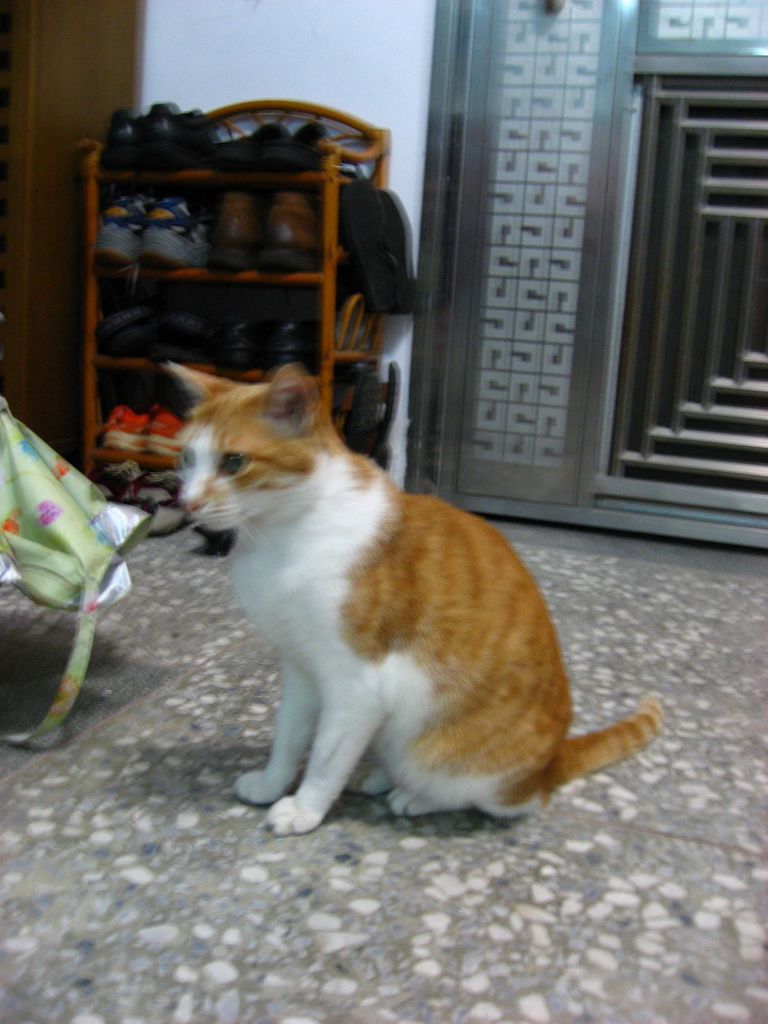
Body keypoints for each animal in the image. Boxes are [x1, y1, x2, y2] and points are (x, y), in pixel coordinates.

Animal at [170, 362, 663, 836]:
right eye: (188, 457)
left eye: (234, 462)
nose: (186, 503)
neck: (279, 536)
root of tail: (551, 762)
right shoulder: (300, 668)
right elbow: (287, 736)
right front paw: (272, 784)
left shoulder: (356, 686)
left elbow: (326, 758)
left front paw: (305, 809)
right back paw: (380, 777)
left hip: (458, 762)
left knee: (495, 801)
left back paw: (413, 797)